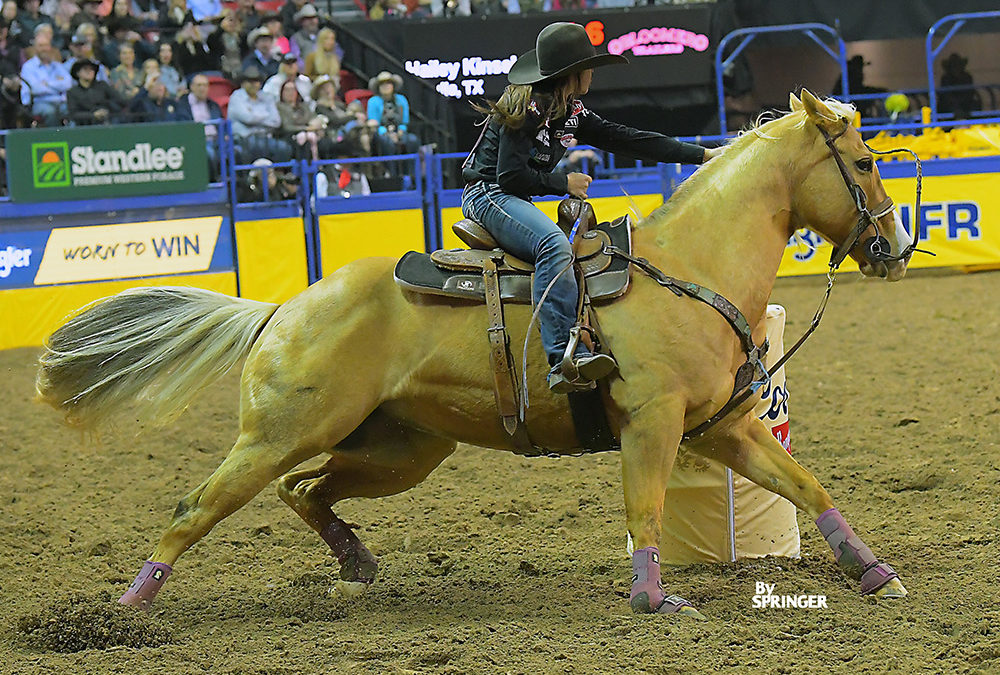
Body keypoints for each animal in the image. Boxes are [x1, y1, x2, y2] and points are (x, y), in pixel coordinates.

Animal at [37, 90, 916, 616]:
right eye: (865, 162)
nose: (897, 248)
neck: (689, 269)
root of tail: (283, 307)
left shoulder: (722, 426)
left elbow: (806, 482)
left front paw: (873, 570)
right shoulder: (654, 424)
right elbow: (646, 512)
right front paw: (655, 599)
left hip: (397, 448)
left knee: (304, 489)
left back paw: (356, 560)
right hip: (279, 433)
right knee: (197, 507)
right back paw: (128, 610)